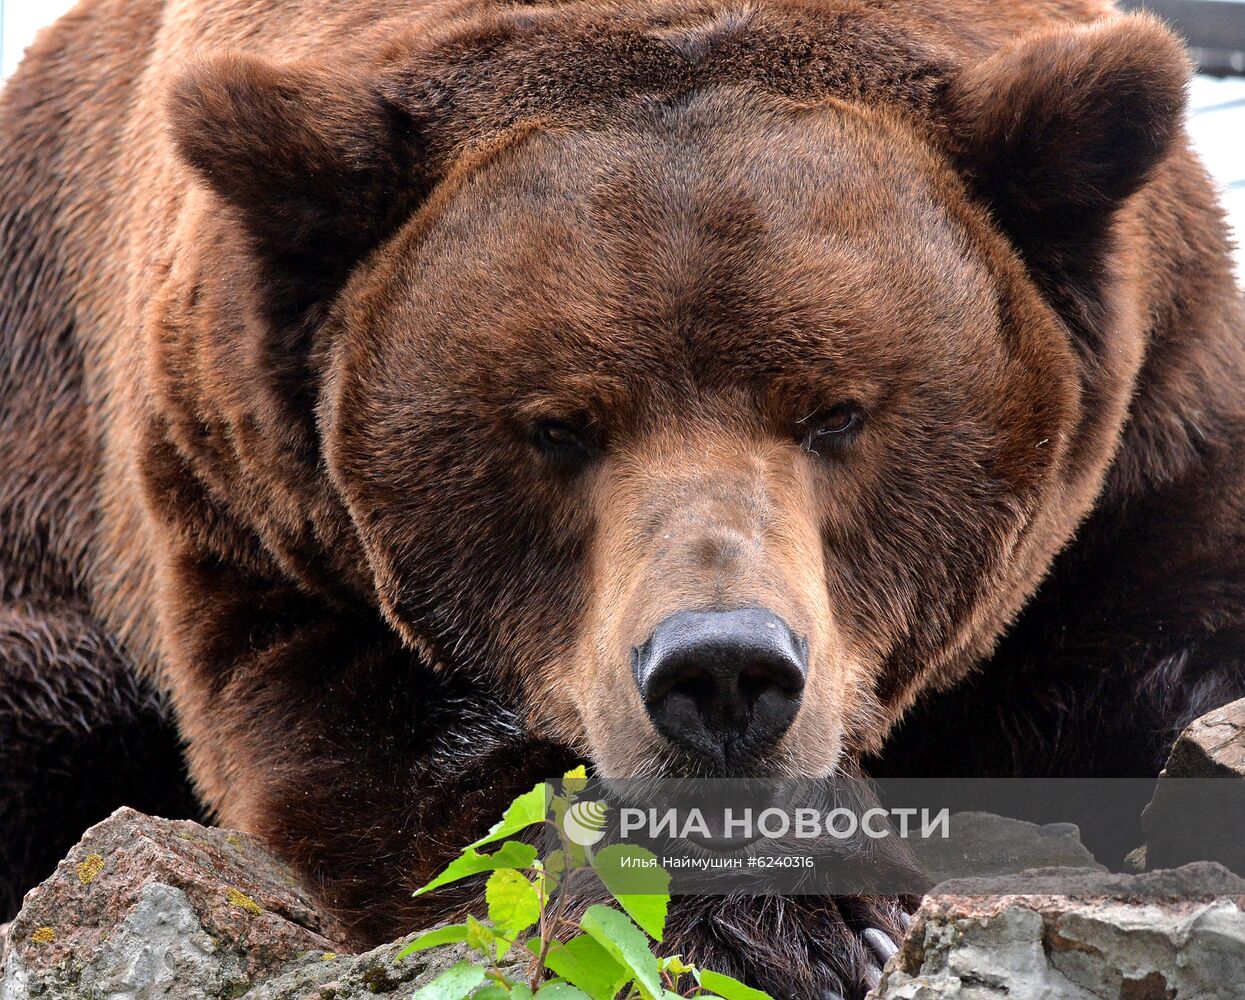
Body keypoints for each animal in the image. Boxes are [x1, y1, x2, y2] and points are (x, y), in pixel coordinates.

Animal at [2, 0, 1245, 996]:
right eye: (558, 426)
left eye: (835, 411)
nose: (723, 666)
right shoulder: (254, 508)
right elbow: (398, 753)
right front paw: (802, 918)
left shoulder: (1149, 430)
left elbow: (1177, 633)